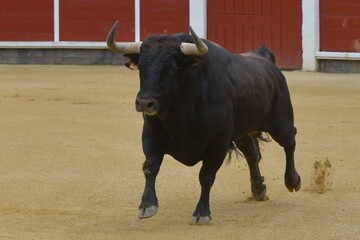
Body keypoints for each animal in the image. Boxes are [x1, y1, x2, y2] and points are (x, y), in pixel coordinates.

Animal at [107, 21, 300, 225]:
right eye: (141, 67)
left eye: (173, 69)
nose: (144, 103)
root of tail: (265, 59)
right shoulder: (151, 136)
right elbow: (150, 167)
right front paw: (147, 205)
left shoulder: (218, 144)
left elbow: (206, 177)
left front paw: (201, 213)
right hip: (242, 132)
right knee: (251, 154)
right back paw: (258, 190)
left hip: (281, 122)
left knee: (290, 142)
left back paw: (292, 180)